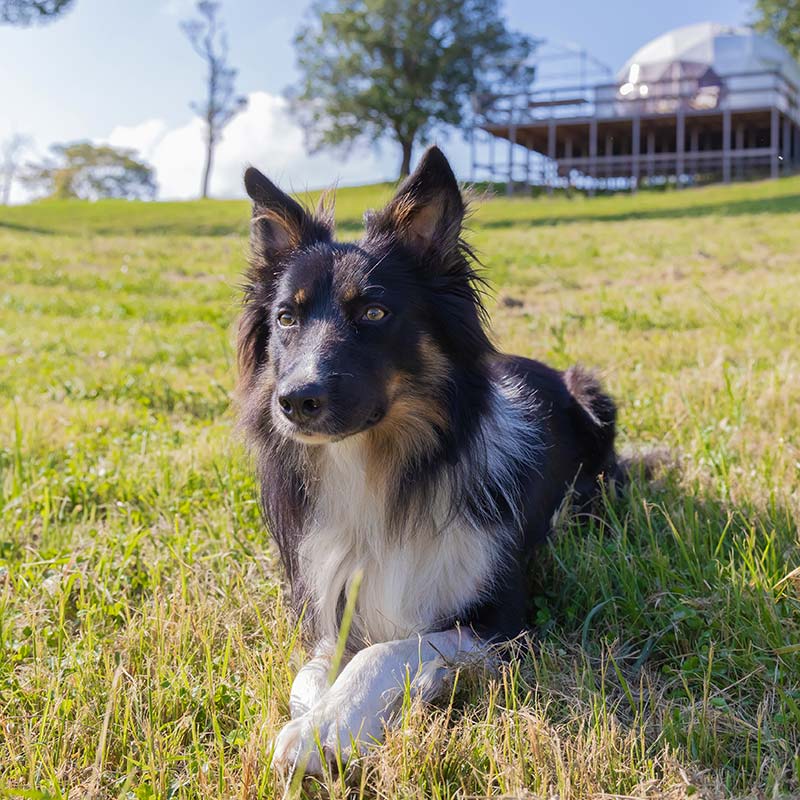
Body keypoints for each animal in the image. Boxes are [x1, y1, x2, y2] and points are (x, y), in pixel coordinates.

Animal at [234, 147, 620, 780]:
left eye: (373, 311)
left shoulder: (504, 622)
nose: (292, 401)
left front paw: (330, 728)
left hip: (594, 397)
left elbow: (389, 649)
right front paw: (326, 715)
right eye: (286, 319)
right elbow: (311, 672)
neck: (378, 468)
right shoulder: (331, 601)